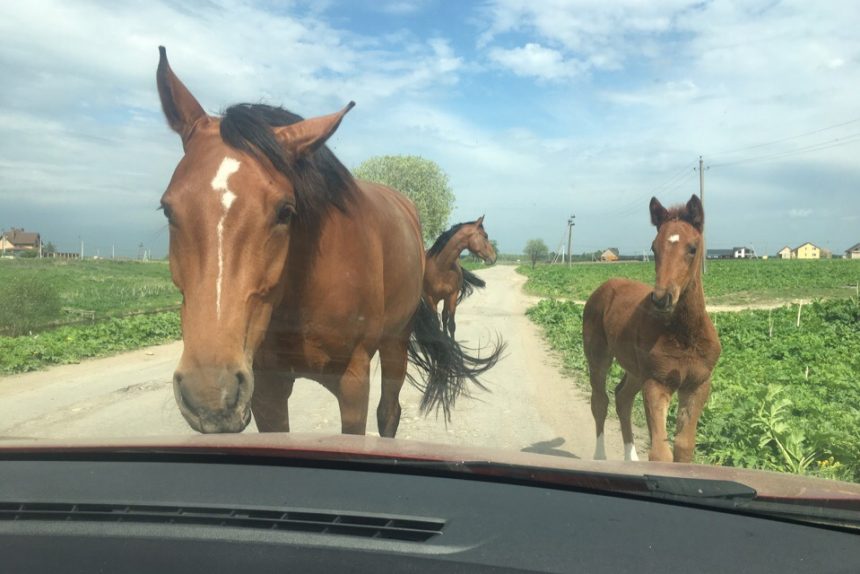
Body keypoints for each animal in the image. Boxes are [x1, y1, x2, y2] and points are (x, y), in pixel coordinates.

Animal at [155, 46, 501, 434]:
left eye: (285, 211)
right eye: (168, 209)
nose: (211, 392)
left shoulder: (353, 380)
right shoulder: (266, 387)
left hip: (396, 343)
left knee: (389, 412)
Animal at [582, 195, 721, 462]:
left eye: (692, 248)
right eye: (654, 247)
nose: (661, 299)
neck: (684, 335)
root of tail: (605, 286)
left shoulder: (697, 385)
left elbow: (684, 446)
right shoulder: (656, 383)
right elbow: (660, 452)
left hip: (636, 370)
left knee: (622, 398)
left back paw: (631, 459)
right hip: (599, 358)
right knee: (600, 401)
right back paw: (600, 457)